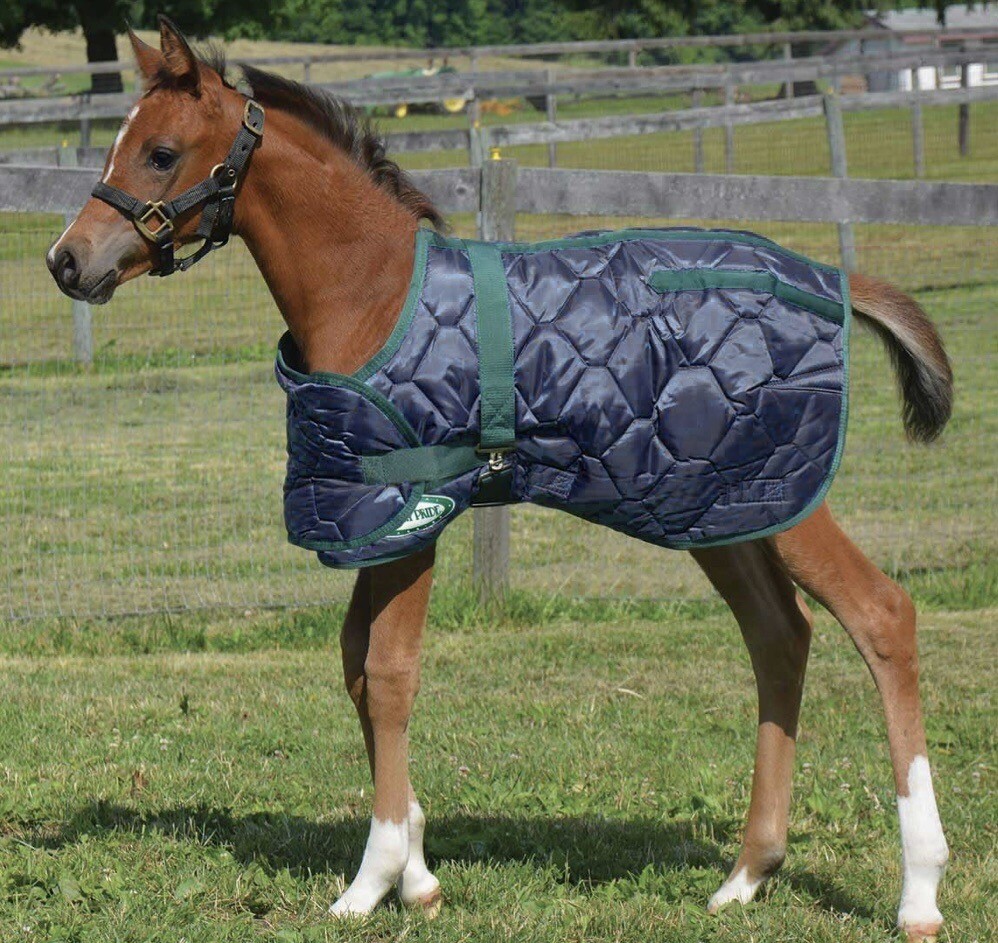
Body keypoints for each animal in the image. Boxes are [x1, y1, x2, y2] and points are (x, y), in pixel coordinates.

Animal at [48, 19, 954, 940]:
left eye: (160, 153)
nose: (66, 261)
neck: (371, 293)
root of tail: (830, 282)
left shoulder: (413, 510)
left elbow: (389, 674)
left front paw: (371, 880)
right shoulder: (371, 515)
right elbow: (355, 665)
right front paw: (417, 873)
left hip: (778, 493)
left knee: (882, 615)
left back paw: (919, 889)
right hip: (720, 502)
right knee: (779, 634)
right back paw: (747, 872)